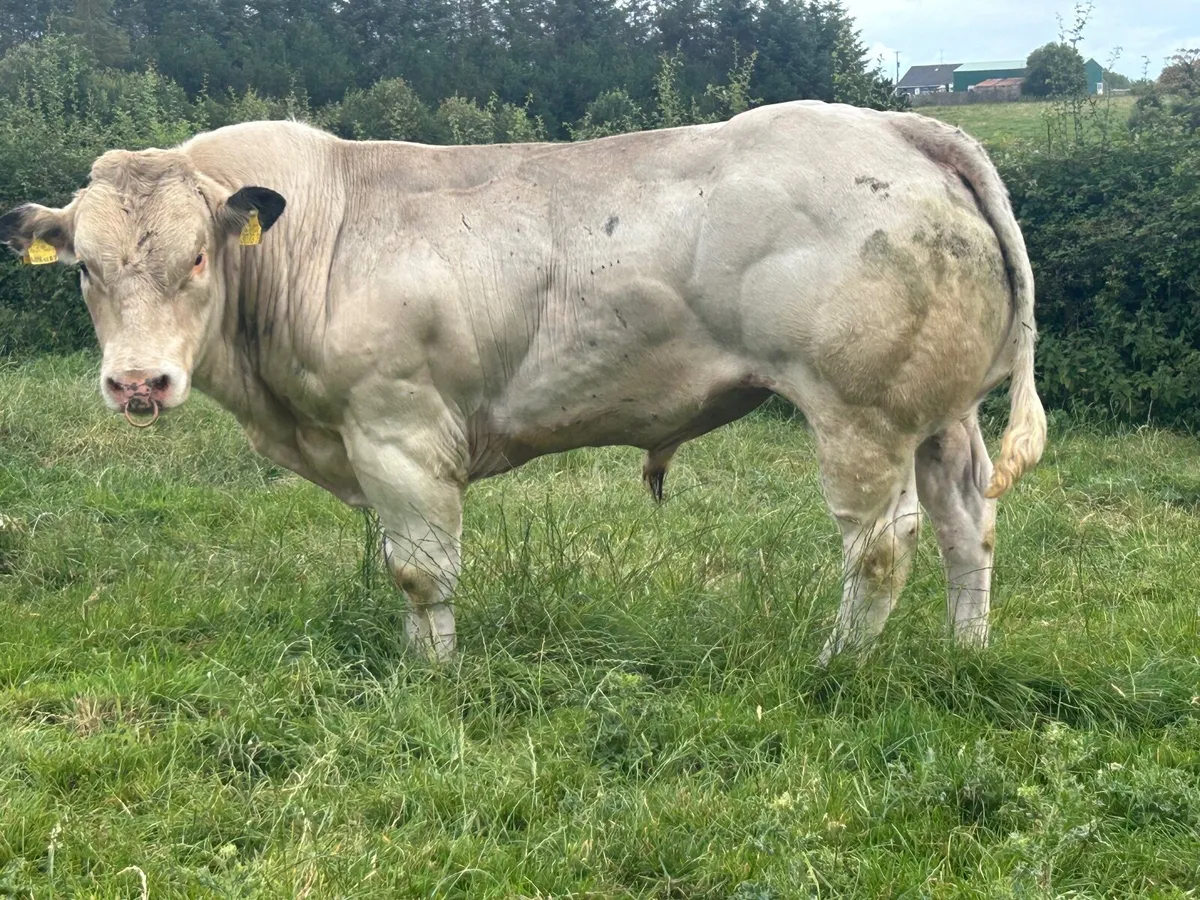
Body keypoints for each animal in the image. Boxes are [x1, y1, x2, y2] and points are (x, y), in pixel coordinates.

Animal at [0, 101, 1046, 662]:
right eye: (86, 268)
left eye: (197, 258)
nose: (138, 382)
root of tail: (899, 127)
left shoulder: (399, 427)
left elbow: (420, 569)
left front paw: (433, 681)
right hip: (938, 415)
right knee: (966, 525)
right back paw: (966, 651)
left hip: (861, 413)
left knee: (881, 548)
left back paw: (835, 666)